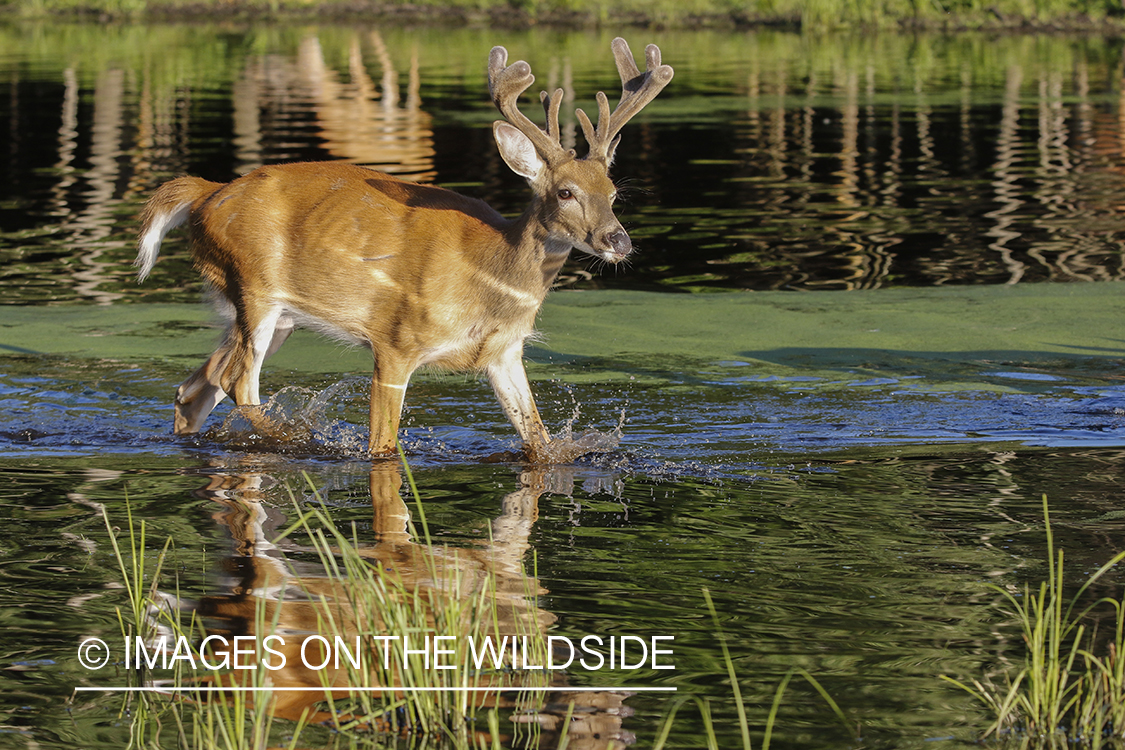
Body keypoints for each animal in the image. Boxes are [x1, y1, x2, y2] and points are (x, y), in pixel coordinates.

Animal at [136, 41, 670, 465]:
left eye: (613, 192)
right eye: (564, 192)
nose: (618, 241)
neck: (487, 277)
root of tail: (205, 193)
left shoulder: (504, 353)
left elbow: (538, 440)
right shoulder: (395, 341)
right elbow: (383, 448)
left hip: (274, 315)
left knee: (194, 387)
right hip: (254, 287)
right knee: (237, 381)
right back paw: (296, 438)